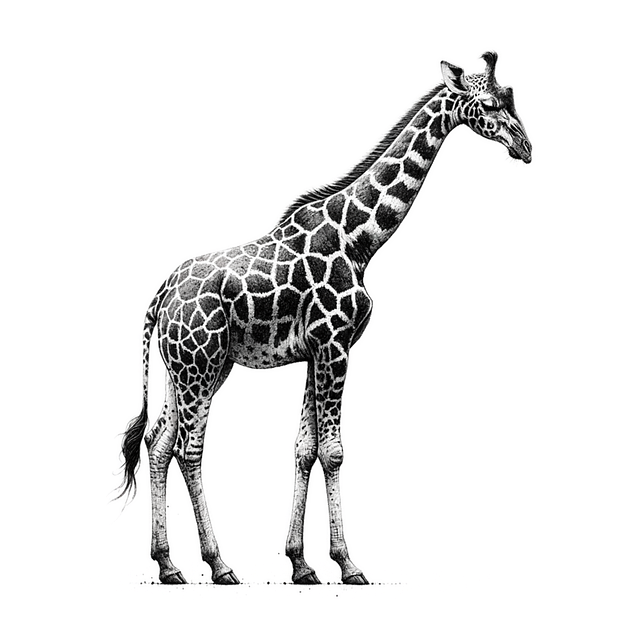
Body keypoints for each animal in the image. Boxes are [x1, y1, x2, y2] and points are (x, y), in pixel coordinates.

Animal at [118, 51, 531, 586]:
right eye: (489, 104)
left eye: (512, 97)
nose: (526, 147)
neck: (360, 240)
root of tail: (159, 299)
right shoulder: (334, 345)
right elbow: (332, 452)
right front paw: (348, 563)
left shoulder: (318, 351)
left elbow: (303, 448)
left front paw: (301, 563)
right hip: (200, 364)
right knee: (189, 451)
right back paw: (219, 564)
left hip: (189, 368)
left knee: (158, 442)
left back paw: (169, 564)